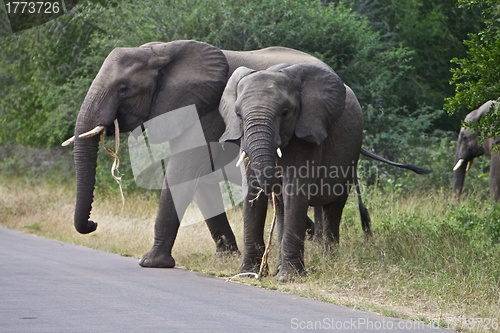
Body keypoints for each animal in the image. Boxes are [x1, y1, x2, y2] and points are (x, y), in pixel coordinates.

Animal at [64, 39, 334, 268]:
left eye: (123, 88)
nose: (92, 224)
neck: (162, 50)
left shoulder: (206, 112)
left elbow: (182, 171)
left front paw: (151, 262)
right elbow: (200, 181)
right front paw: (225, 259)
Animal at [219, 64, 364, 280]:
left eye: (285, 113)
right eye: (238, 115)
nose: (262, 271)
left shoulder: (306, 132)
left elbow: (294, 191)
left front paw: (289, 277)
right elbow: (252, 191)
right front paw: (247, 274)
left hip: (351, 156)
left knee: (333, 206)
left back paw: (329, 259)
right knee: (282, 209)